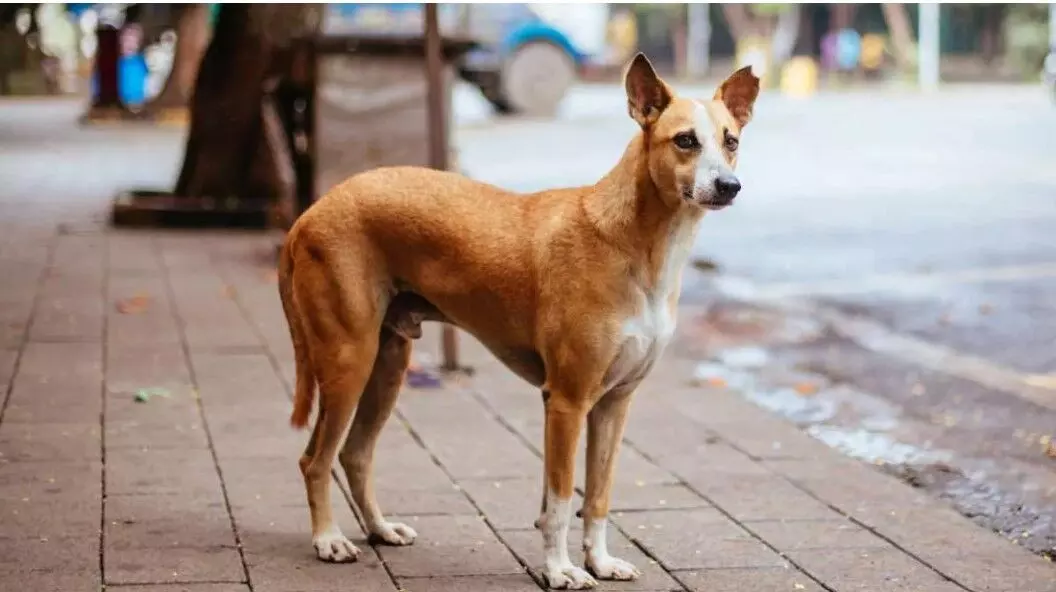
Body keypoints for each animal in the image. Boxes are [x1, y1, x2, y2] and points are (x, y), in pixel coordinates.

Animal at [280, 54, 760, 586]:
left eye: (731, 140)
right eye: (685, 141)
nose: (729, 186)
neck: (638, 244)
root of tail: (311, 213)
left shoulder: (614, 404)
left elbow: (597, 497)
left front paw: (599, 561)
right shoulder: (567, 401)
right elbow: (560, 501)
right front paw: (560, 570)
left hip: (388, 365)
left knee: (355, 454)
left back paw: (381, 529)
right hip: (349, 361)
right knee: (314, 459)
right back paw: (328, 539)